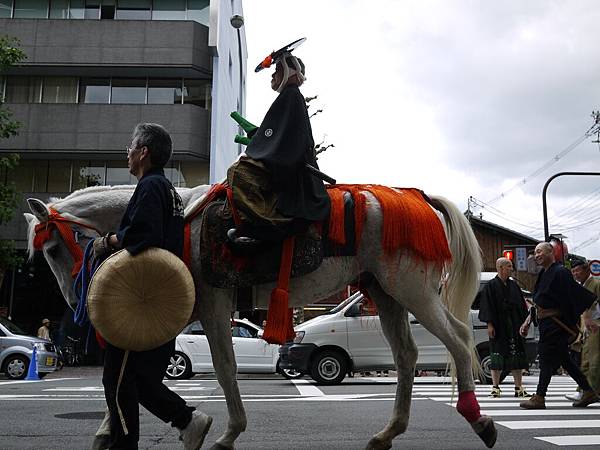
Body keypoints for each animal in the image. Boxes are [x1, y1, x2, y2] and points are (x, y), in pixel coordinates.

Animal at [24, 184, 496, 450]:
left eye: (52, 248)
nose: (73, 299)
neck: (176, 220)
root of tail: (419, 198)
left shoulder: (214, 301)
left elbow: (223, 366)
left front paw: (228, 432)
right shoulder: (181, 307)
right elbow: (138, 375)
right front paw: (108, 429)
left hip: (412, 289)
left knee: (457, 339)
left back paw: (478, 417)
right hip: (387, 291)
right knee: (406, 356)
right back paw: (388, 432)